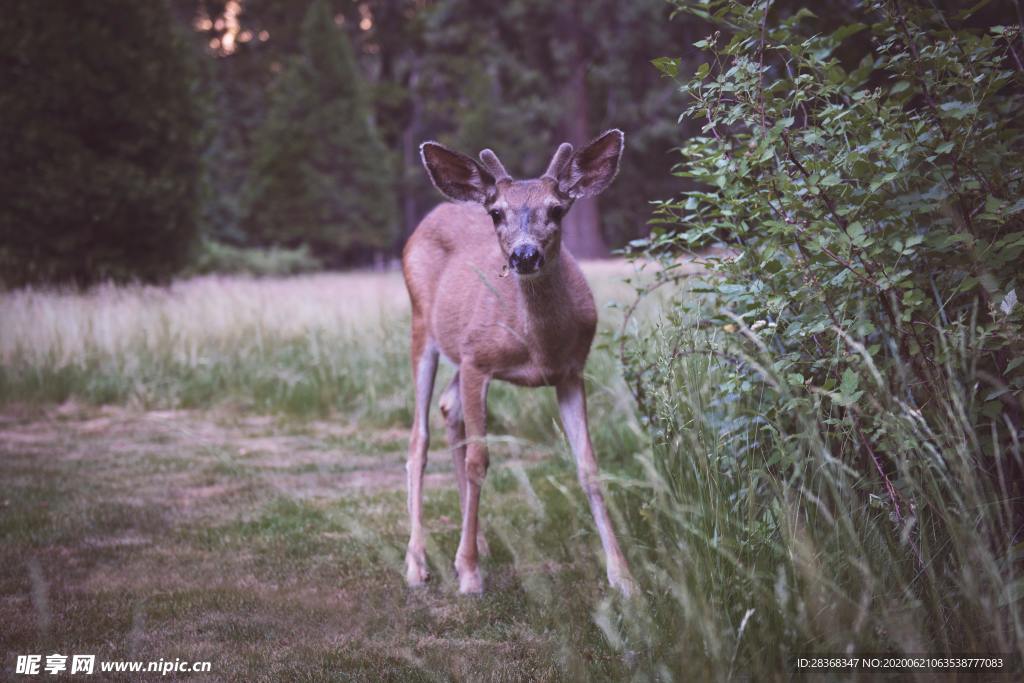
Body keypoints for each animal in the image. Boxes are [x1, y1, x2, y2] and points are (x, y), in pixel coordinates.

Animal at [401, 129, 634, 598]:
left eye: (557, 208)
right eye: (496, 213)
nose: (524, 256)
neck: (537, 346)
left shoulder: (572, 372)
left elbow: (589, 467)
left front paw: (623, 575)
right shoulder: (477, 360)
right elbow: (478, 461)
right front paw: (470, 575)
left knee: (448, 408)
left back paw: (475, 541)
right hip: (422, 327)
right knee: (419, 438)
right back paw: (418, 562)